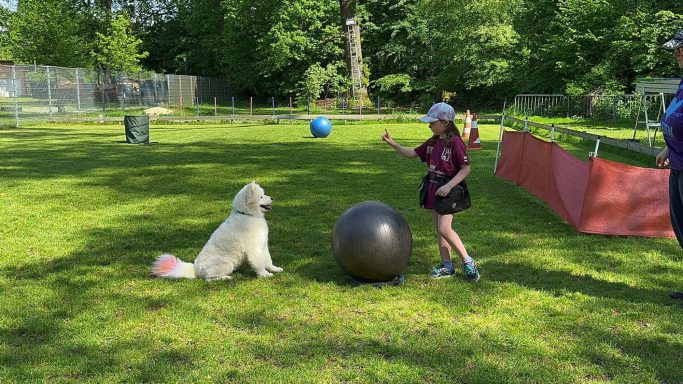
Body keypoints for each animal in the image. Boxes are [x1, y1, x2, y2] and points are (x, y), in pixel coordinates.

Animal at [152, 182, 284, 280]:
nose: (272, 198)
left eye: (264, 194)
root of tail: (195, 269)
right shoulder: (254, 250)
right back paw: (226, 278)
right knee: (210, 278)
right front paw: (265, 275)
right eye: (261, 196)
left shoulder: (263, 245)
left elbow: (268, 260)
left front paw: (274, 269)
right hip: (226, 264)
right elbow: (260, 264)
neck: (247, 215)